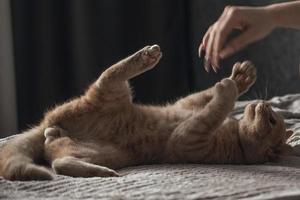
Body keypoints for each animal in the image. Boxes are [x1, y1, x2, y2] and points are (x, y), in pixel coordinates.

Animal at [0, 44, 292, 180]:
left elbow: (215, 107)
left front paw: (229, 87)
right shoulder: (186, 106)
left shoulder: (188, 138)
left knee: (57, 159)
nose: (266, 104)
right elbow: (207, 97)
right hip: (110, 95)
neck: (234, 131)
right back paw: (147, 56)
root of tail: (48, 122)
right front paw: (239, 78)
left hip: (106, 121)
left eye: (271, 120)